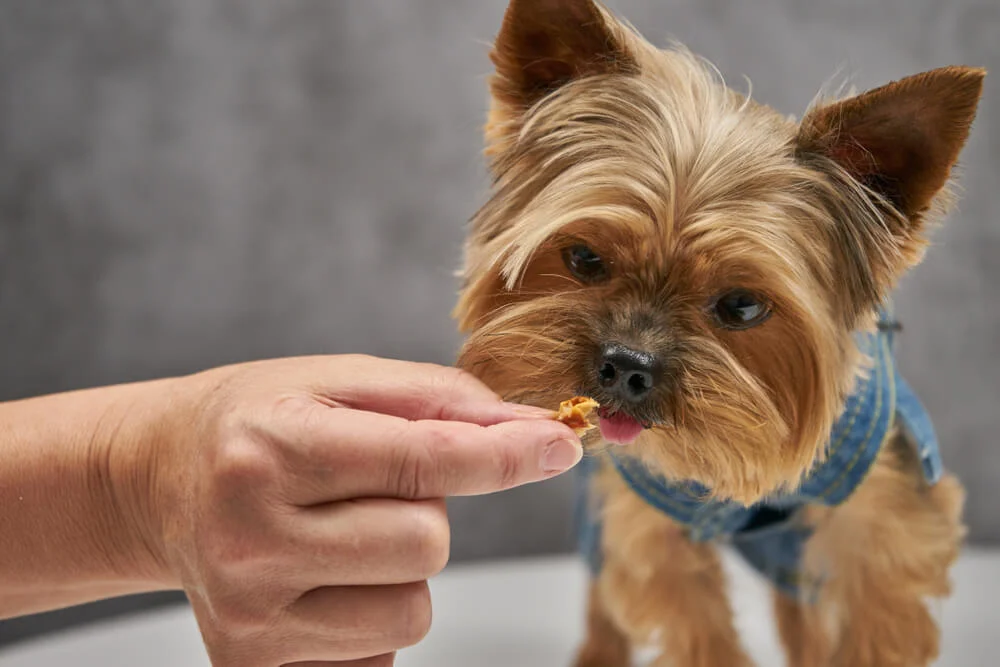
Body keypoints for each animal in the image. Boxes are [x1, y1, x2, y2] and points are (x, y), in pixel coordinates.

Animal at [454, 1, 984, 667]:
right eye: (583, 258)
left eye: (742, 306)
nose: (628, 365)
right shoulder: (648, 523)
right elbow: (692, 621)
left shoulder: (888, 521)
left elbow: (874, 619)